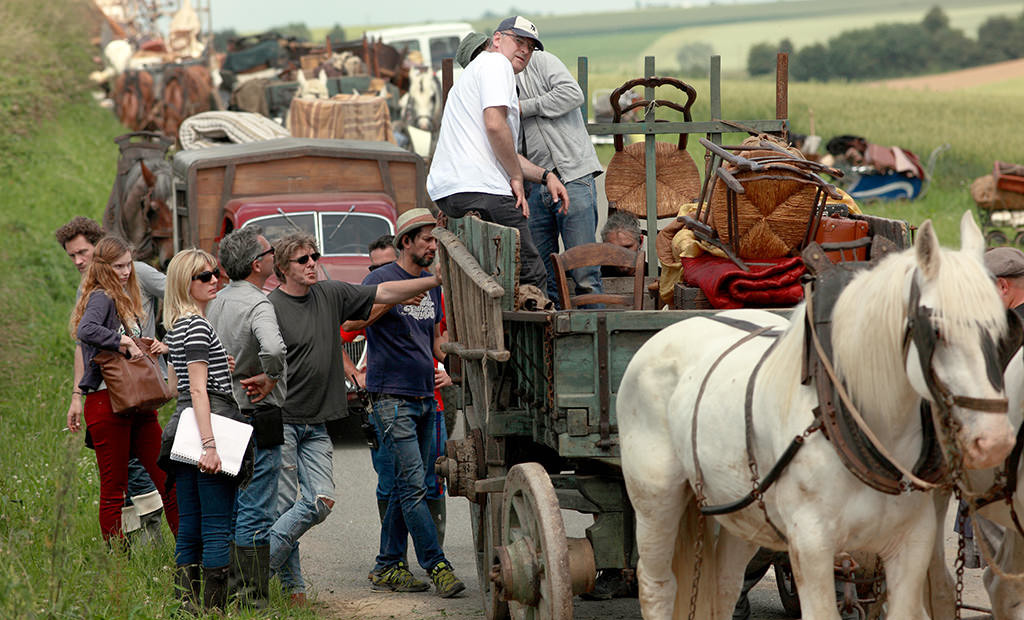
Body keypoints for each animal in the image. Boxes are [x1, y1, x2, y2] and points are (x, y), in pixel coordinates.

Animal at [618, 210, 1019, 614]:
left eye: (1003, 329)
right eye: (936, 330)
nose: (994, 440)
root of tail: (676, 327)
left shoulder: (912, 545)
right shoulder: (811, 546)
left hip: (740, 511)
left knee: (724, 588)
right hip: (655, 499)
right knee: (657, 585)